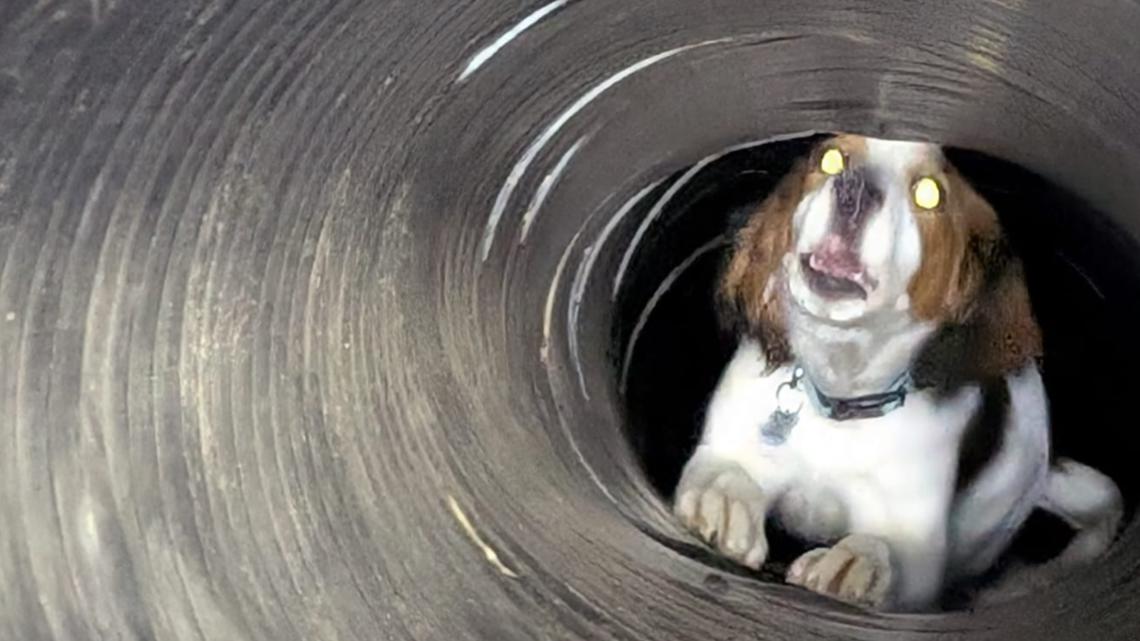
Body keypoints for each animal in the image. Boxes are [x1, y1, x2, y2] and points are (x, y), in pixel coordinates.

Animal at [670, 133, 1126, 606]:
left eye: (929, 193)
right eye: (831, 159)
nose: (853, 190)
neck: (840, 394)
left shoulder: (918, 552)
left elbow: (887, 552)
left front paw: (859, 565)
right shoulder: (732, 444)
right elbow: (723, 473)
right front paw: (721, 505)